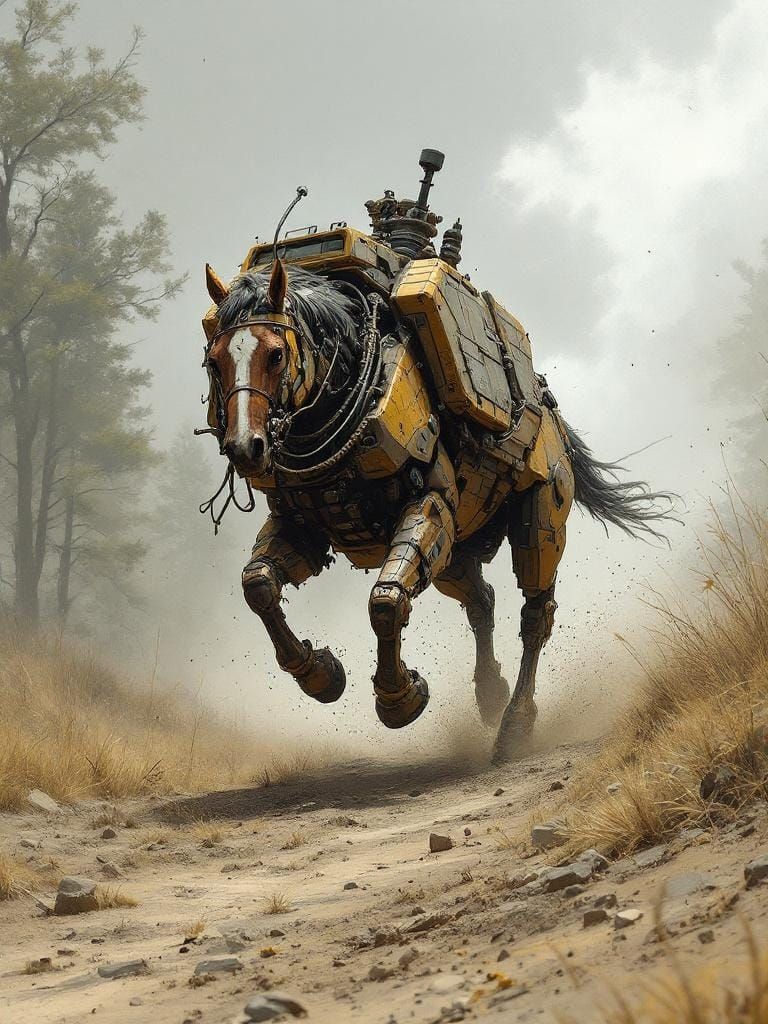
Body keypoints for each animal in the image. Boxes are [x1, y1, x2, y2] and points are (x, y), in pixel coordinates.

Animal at [201, 257, 672, 760]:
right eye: (214, 361)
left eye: (274, 354)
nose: (246, 447)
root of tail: (554, 419)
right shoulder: (300, 525)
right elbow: (259, 584)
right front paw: (320, 674)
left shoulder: (430, 505)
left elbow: (386, 600)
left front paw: (399, 699)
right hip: (455, 553)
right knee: (481, 600)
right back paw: (490, 694)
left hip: (540, 511)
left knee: (535, 613)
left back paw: (515, 723)